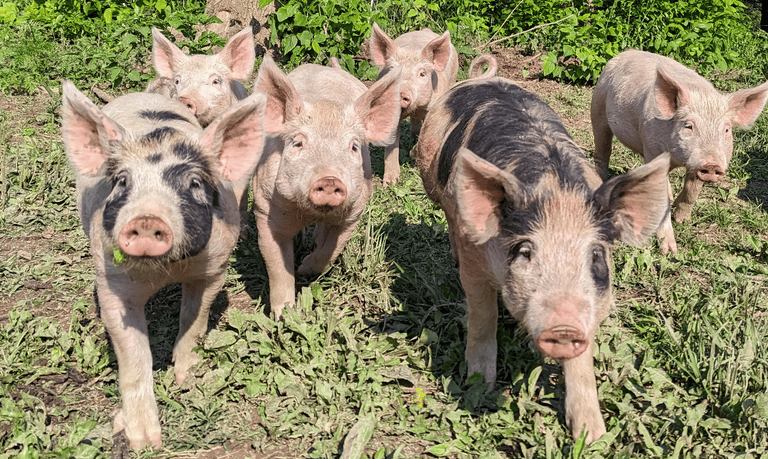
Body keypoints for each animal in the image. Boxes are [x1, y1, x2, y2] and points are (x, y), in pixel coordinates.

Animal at [61, 81, 266, 449]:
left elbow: (194, 319)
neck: (166, 270)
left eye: (194, 183)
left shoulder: (215, 268)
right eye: (122, 181)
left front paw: (187, 377)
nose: (146, 219)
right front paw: (144, 442)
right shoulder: (111, 282)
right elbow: (134, 355)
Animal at [252, 56, 401, 318]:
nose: (330, 180)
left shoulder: (354, 213)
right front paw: (284, 316)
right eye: (298, 143)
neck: (308, 213)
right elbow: (278, 267)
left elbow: (331, 250)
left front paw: (304, 268)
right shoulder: (265, 207)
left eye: (353, 147)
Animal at [412, 77, 671, 443]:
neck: (556, 192)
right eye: (525, 251)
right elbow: (483, 315)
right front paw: (478, 386)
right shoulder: (475, 257)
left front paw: (591, 436)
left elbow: (582, 359)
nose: (563, 326)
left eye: (596, 255)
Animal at [591, 49, 768, 254]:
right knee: (602, 152)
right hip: (598, 108)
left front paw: (682, 220)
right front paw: (670, 251)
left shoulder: (694, 164)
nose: (712, 164)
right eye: (688, 126)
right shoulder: (652, 149)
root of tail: (626, 53)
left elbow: (693, 189)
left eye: (726, 130)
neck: (677, 159)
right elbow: (663, 196)